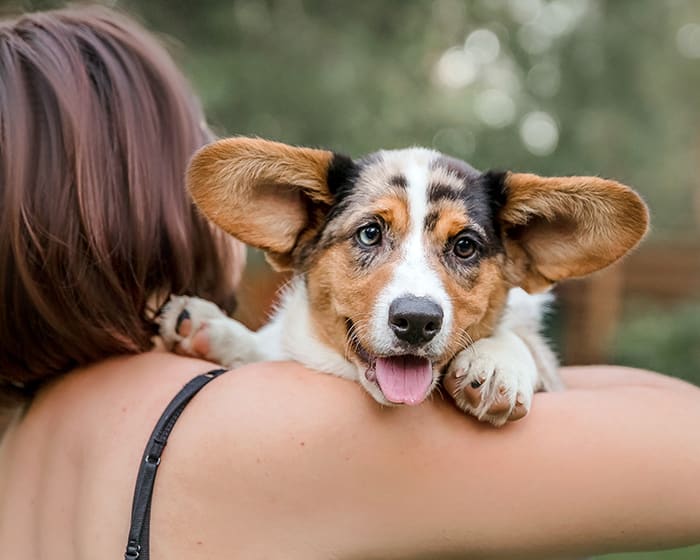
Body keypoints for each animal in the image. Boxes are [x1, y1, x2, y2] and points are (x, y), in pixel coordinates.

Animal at [160, 137, 652, 424]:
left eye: (465, 246)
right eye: (370, 233)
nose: (416, 321)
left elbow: (520, 339)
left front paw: (497, 362)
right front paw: (211, 327)